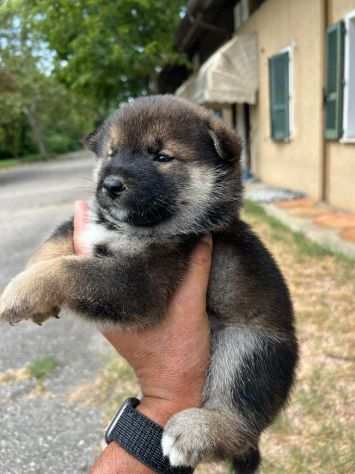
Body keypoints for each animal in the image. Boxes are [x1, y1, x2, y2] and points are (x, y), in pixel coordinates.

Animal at [0, 94, 298, 472]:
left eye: (162, 157)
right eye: (111, 153)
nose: (110, 185)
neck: (133, 229)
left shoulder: (140, 283)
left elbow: (70, 270)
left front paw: (19, 292)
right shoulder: (87, 227)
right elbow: (54, 244)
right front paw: (31, 292)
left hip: (249, 346)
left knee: (239, 419)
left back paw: (198, 431)